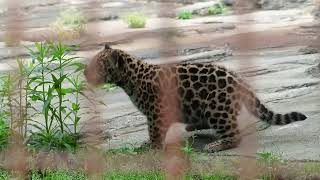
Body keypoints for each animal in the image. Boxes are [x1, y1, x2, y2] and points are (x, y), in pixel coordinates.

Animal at [85, 43, 308, 152]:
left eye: (98, 65)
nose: (85, 73)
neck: (129, 78)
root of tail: (238, 80)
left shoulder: (156, 113)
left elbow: (154, 132)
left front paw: (152, 147)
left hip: (216, 107)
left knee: (235, 134)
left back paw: (215, 146)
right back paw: (195, 126)